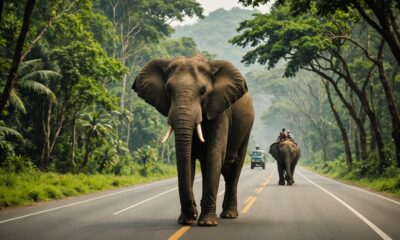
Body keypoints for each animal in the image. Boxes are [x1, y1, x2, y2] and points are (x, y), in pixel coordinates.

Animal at [133, 55, 255, 226]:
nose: (193, 211)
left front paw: (207, 223)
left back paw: (229, 215)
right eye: (168, 90)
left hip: (246, 129)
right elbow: (188, 158)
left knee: (233, 168)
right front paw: (186, 221)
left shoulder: (221, 110)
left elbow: (215, 154)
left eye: (203, 91)